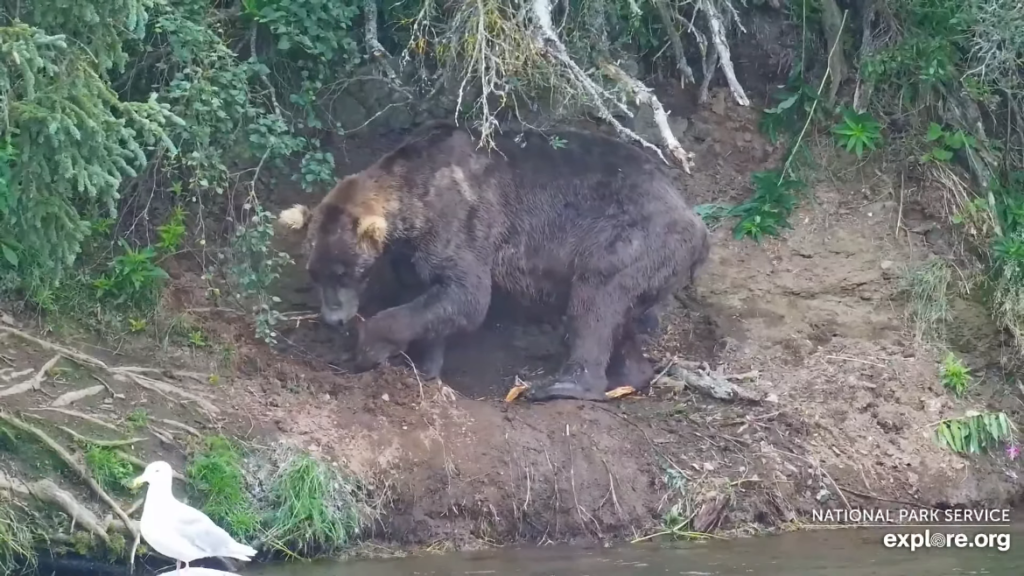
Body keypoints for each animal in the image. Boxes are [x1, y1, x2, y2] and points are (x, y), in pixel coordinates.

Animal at [280, 120, 712, 399]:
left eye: (344, 272)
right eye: (316, 273)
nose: (333, 318)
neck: (412, 199)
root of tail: (697, 224)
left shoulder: (463, 223)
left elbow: (468, 296)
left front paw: (368, 347)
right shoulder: (415, 250)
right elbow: (435, 300)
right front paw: (426, 366)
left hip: (632, 238)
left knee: (597, 299)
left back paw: (561, 385)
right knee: (620, 316)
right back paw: (628, 375)